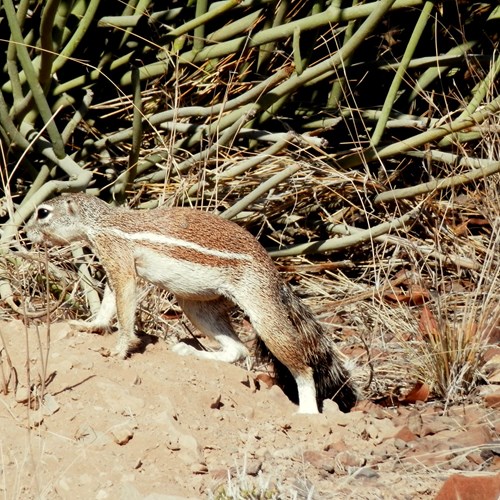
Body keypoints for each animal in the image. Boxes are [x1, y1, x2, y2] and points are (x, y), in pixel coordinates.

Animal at [25, 192, 358, 414]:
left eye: (43, 212)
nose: (26, 234)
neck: (102, 221)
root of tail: (274, 274)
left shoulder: (117, 257)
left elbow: (124, 305)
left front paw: (119, 349)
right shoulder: (114, 264)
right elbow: (110, 302)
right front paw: (89, 325)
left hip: (262, 312)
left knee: (300, 365)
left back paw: (307, 411)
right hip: (197, 308)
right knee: (237, 350)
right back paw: (190, 351)